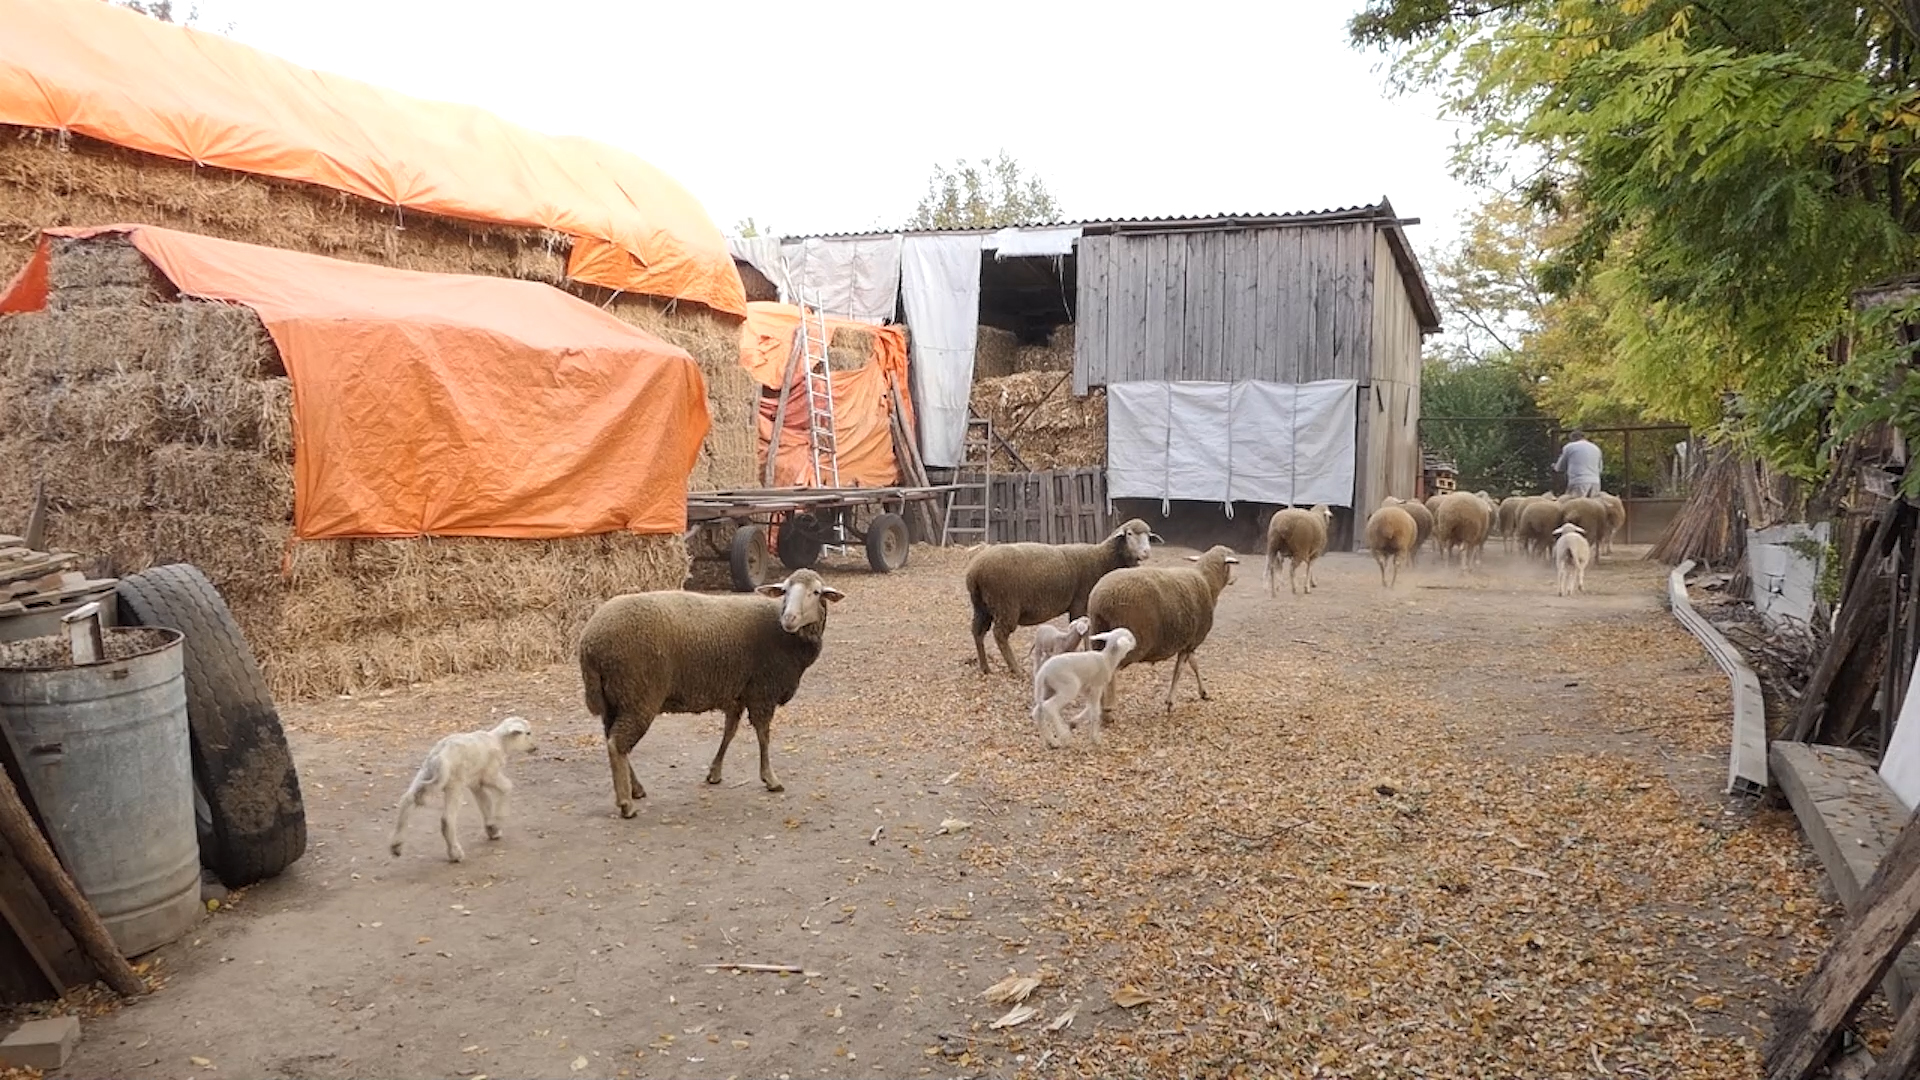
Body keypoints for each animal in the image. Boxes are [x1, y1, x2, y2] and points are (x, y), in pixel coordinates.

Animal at [389, 714, 537, 857]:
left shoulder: (476, 782)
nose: (535, 748)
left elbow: (485, 802)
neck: (499, 742)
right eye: (528, 733)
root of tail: (440, 756)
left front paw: (492, 828)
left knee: (407, 799)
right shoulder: (490, 774)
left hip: (425, 773)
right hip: (454, 784)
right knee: (447, 819)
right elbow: (507, 786)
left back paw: (396, 845)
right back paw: (455, 853)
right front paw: (499, 818)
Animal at [572, 568, 837, 810]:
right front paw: (770, 779)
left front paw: (715, 773)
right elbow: (763, 735)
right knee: (617, 744)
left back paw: (635, 789)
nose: (789, 618)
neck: (784, 636)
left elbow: (729, 732)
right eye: (785, 591)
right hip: (638, 695)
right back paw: (626, 803)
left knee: (612, 739)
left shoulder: (737, 695)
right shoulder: (763, 691)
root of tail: (588, 643)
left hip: (615, 698)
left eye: (816, 592)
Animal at [967, 515, 1144, 672]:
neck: (1102, 559)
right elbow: (1084, 631)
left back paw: (985, 667)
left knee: (977, 631)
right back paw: (1015, 669)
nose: (1145, 552)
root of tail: (974, 571)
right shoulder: (1080, 603)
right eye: (1129, 534)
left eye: (1148, 536)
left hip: (982, 606)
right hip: (1005, 605)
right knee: (1000, 634)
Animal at [1090, 545, 1236, 714]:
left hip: (1098, 633)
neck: (1207, 582)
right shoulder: (1192, 641)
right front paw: (1171, 702)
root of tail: (1100, 600)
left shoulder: (1188, 642)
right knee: (1110, 670)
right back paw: (1109, 709)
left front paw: (1203, 692)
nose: (1234, 580)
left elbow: (1194, 665)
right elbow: (1179, 671)